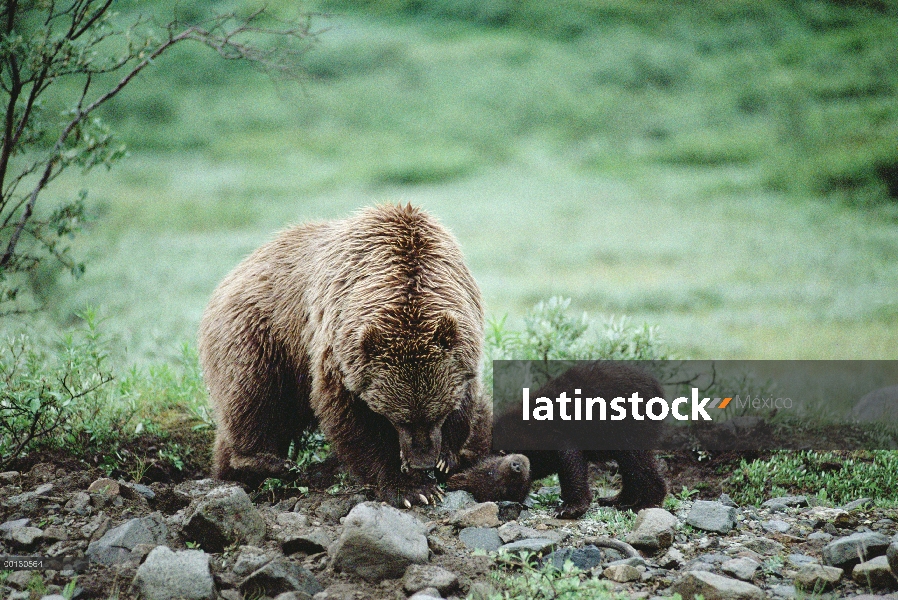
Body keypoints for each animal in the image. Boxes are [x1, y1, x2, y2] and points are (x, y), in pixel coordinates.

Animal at [198, 205, 490, 506]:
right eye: (399, 418)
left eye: (437, 414)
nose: (423, 462)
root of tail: (232, 275)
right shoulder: (339, 351)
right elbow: (352, 421)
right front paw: (411, 488)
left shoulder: (464, 334)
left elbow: (469, 399)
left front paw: (447, 457)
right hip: (260, 335)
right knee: (253, 395)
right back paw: (266, 462)